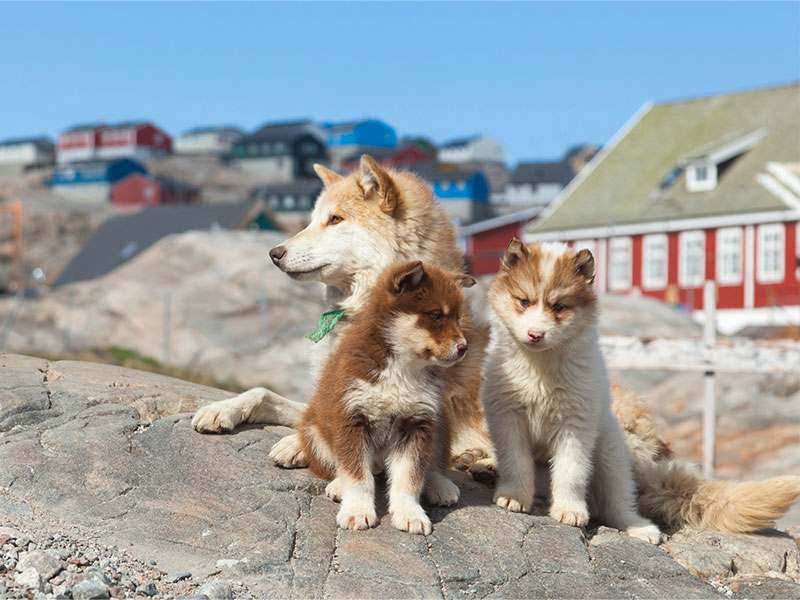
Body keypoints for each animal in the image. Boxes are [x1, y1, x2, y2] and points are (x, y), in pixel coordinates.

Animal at [192, 157, 494, 480]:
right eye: (311, 220)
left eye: (335, 219)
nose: (274, 253)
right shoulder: (331, 395)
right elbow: (264, 393)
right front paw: (223, 408)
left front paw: (296, 444)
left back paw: (480, 461)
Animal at [300, 260, 476, 532]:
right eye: (436, 315)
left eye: (458, 318)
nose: (464, 347)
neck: (402, 366)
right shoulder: (352, 417)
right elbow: (356, 474)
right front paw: (357, 511)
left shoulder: (417, 422)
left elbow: (409, 477)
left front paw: (410, 513)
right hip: (313, 431)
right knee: (340, 466)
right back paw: (339, 485)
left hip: (441, 423)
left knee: (432, 465)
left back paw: (440, 485)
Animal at [482, 239, 664, 544]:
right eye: (524, 301)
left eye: (558, 306)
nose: (535, 334)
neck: (540, 367)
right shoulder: (507, 416)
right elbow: (516, 460)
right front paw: (514, 496)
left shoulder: (575, 424)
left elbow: (571, 471)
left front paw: (569, 510)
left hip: (612, 454)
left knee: (618, 503)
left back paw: (641, 528)